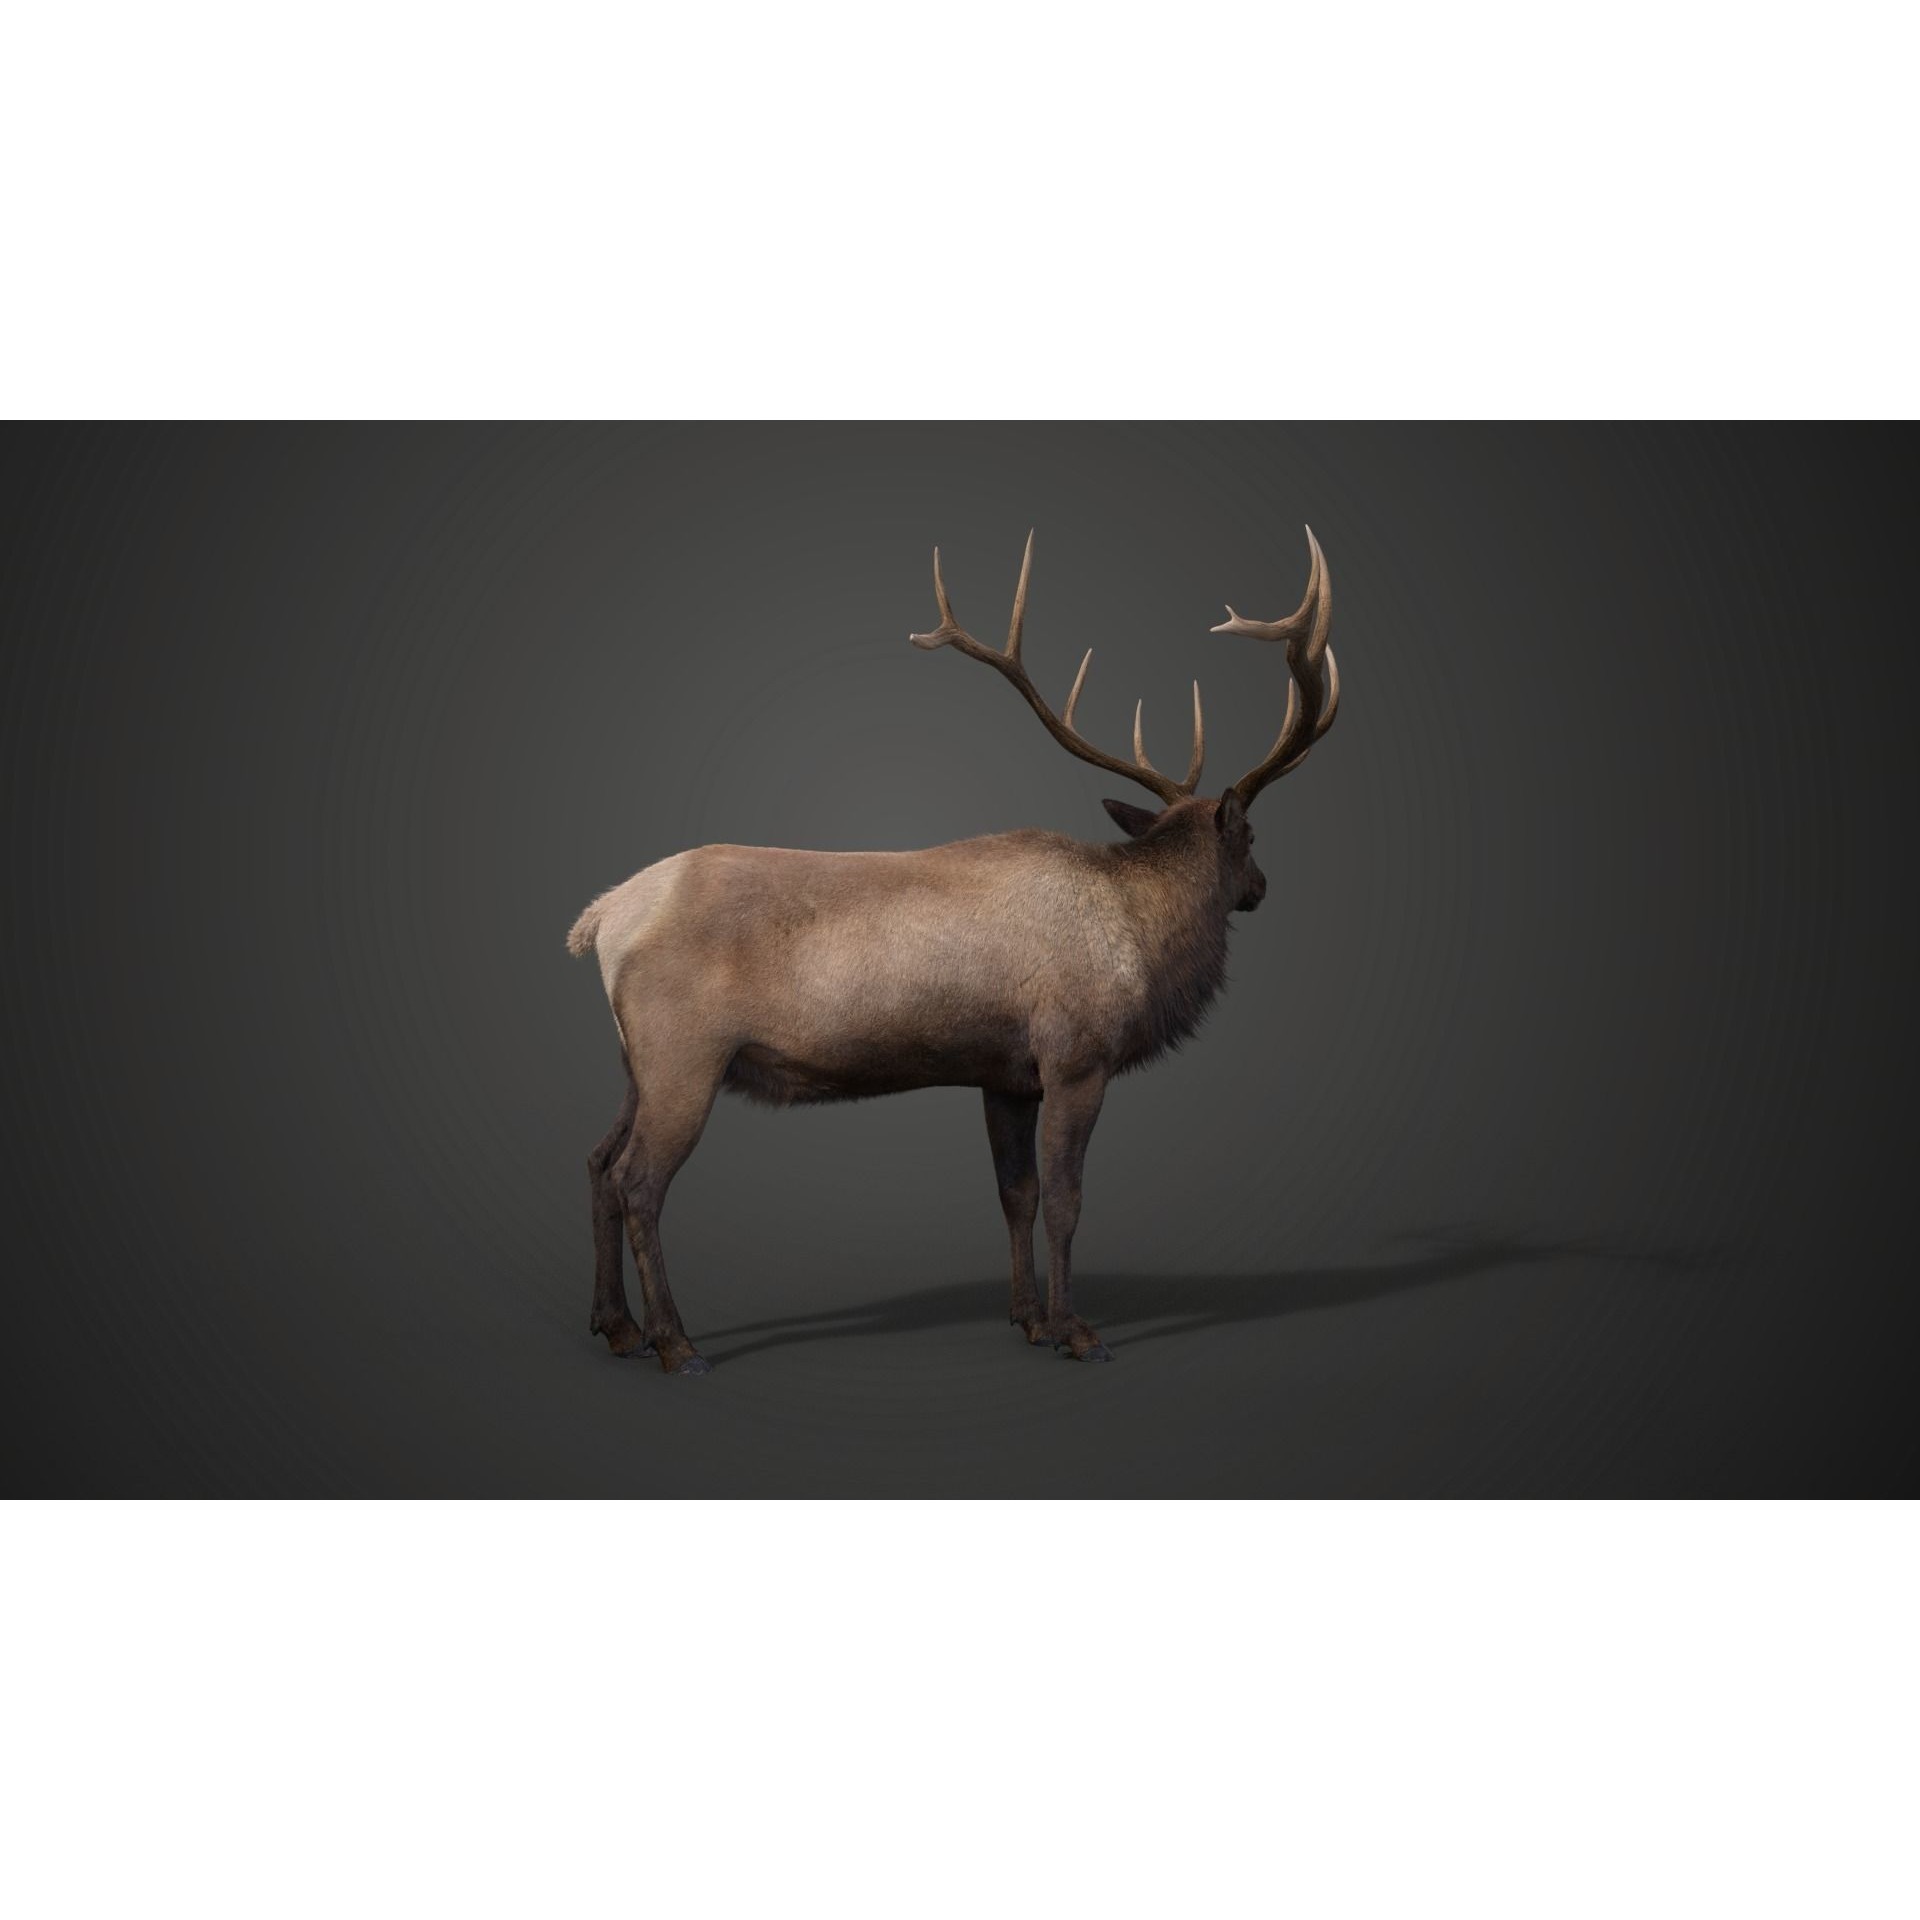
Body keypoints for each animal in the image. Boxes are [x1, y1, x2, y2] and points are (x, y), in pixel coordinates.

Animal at [566, 527, 1341, 1373]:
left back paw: (616, 1326)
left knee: (598, 1162)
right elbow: (1065, 1200)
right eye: (1250, 838)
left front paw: (1028, 1318)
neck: (1142, 939)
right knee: (639, 1180)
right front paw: (1076, 1330)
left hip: (636, 1063)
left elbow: (1016, 1195)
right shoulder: (1076, 1057)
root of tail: (601, 918)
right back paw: (676, 1343)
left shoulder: (1005, 1076)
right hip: (685, 1056)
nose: (1262, 887)